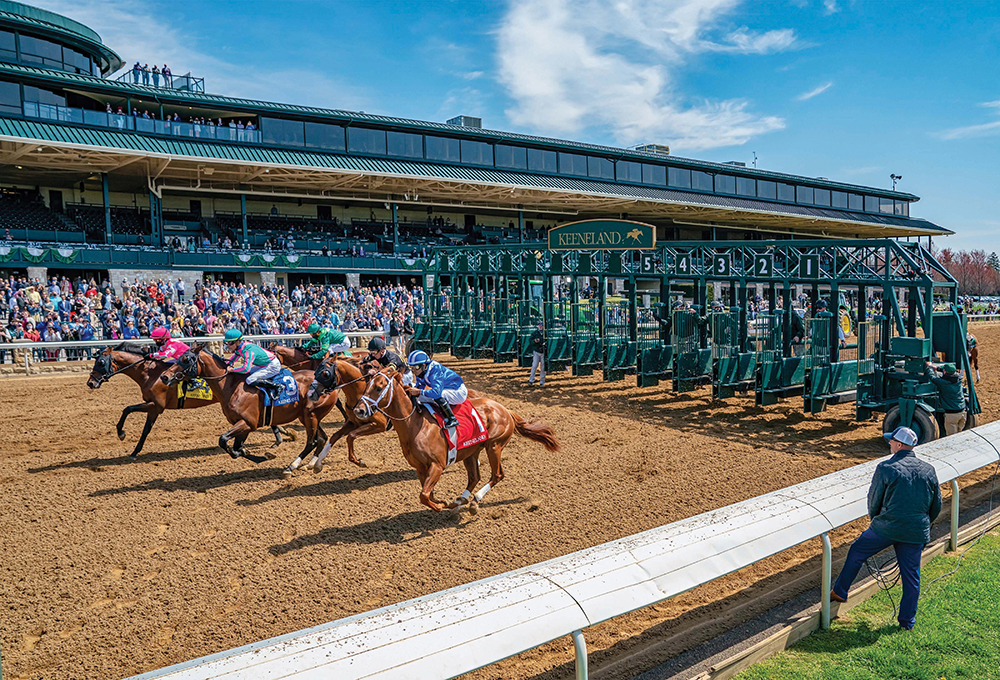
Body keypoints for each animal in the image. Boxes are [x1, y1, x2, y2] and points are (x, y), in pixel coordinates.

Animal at [86, 346, 286, 456]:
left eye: (101, 362)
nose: (90, 383)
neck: (151, 374)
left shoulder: (156, 406)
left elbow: (132, 414)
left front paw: (124, 438)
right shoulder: (153, 407)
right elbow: (133, 416)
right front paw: (132, 447)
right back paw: (280, 435)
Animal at [160, 342, 338, 464]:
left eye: (185, 359)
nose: (164, 376)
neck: (231, 387)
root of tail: (332, 384)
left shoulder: (247, 423)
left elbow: (223, 440)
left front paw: (257, 453)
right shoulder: (241, 425)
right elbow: (235, 447)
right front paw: (257, 455)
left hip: (310, 415)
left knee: (313, 441)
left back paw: (292, 466)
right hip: (308, 416)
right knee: (322, 438)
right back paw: (311, 464)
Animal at [354, 366, 560, 510]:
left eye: (378, 387)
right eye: (367, 385)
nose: (359, 410)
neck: (414, 424)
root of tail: (504, 409)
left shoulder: (437, 465)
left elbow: (424, 495)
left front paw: (439, 506)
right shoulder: (420, 468)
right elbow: (427, 493)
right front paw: (442, 502)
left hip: (494, 446)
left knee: (497, 475)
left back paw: (475, 501)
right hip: (471, 452)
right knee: (475, 477)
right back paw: (460, 500)